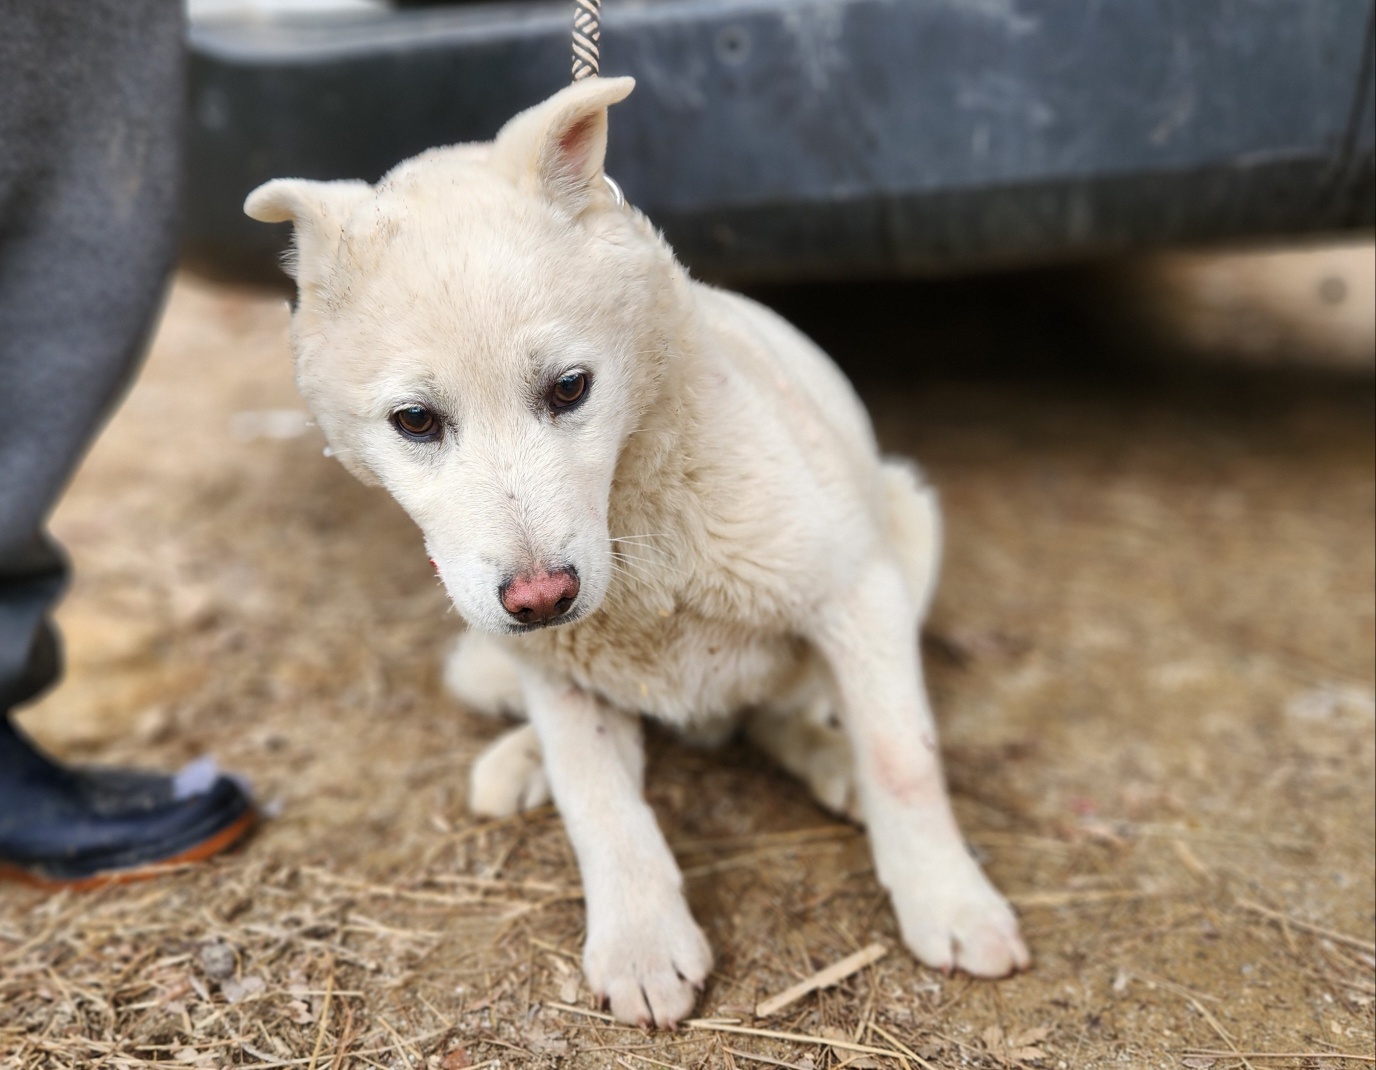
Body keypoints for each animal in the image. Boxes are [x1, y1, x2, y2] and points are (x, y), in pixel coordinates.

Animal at [247, 77, 1029, 1023]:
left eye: (569, 388)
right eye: (416, 421)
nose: (542, 597)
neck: (641, 538)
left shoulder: (856, 593)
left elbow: (904, 759)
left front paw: (949, 902)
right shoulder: (555, 668)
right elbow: (599, 802)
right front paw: (643, 944)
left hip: (906, 523)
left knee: (788, 712)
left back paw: (834, 763)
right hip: (487, 657)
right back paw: (522, 761)